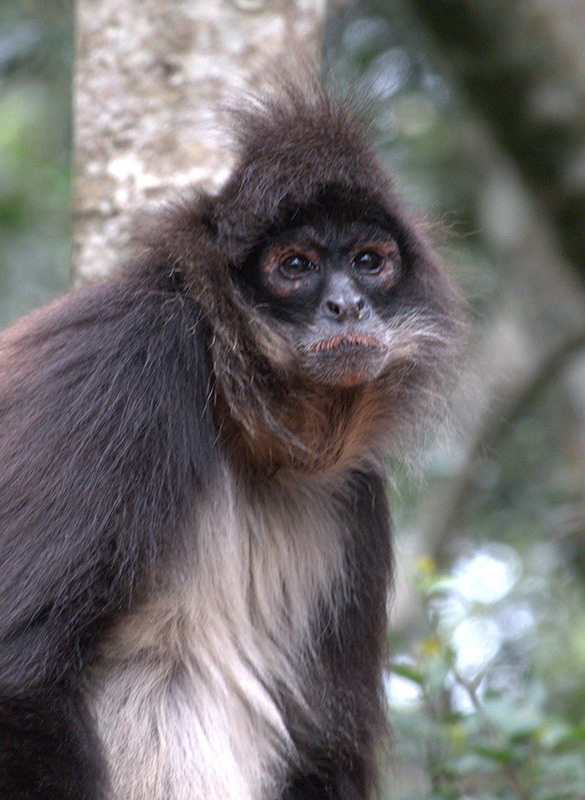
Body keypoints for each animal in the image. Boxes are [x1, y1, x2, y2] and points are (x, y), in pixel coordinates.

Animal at [0, 80, 461, 800]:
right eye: (294, 266)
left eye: (368, 262)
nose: (347, 306)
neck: (243, 425)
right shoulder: (130, 360)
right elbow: (17, 673)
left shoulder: (356, 486)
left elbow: (324, 749)